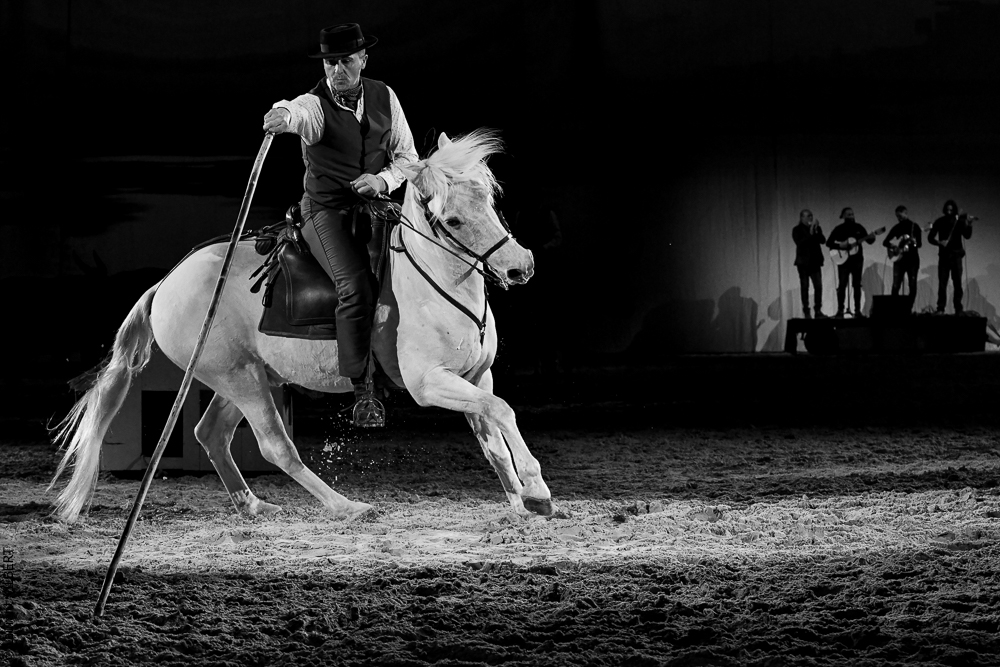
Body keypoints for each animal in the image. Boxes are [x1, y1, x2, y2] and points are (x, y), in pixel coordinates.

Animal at [49, 130, 555, 524]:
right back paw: (346, 507)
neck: (434, 283)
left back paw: (254, 506)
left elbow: (492, 430)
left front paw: (522, 500)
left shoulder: (475, 377)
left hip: (244, 376)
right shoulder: (430, 383)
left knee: (211, 434)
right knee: (276, 447)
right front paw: (535, 488)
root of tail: (167, 282)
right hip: (240, 378)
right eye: (452, 219)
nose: (521, 266)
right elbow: (503, 411)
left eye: (489, 200)